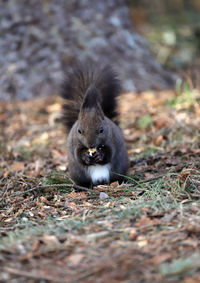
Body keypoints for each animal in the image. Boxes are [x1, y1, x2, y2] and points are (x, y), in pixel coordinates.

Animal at [61, 61, 129, 189]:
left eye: (101, 130)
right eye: (79, 131)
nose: (91, 144)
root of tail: (100, 180)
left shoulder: (112, 139)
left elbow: (110, 153)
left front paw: (100, 155)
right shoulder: (74, 143)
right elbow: (78, 155)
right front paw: (85, 156)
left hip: (119, 169)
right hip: (79, 174)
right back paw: (81, 187)